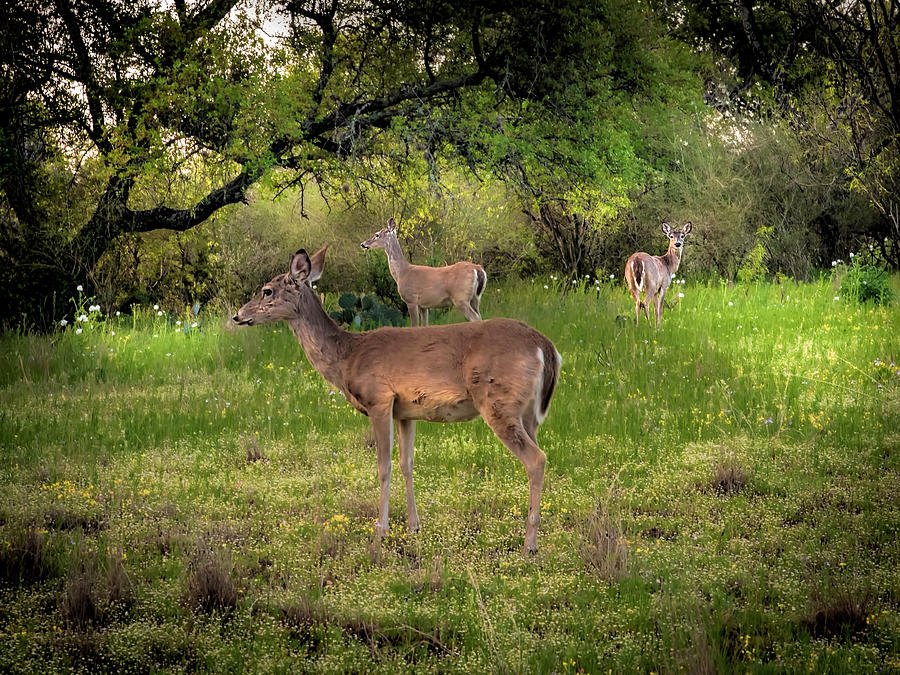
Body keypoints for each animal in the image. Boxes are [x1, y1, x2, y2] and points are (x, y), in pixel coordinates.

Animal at [232, 246, 560, 552]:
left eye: (267, 290)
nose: (237, 315)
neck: (347, 356)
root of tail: (545, 346)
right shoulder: (406, 411)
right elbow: (407, 463)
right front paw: (414, 526)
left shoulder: (379, 399)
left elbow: (383, 466)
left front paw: (381, 530)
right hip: (528, 413)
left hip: (497, 402)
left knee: (536, 459)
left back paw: (529, 543)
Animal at [358, 219, 488, 328]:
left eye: (377, 234)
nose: (363, 244)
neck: (401, 273)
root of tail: (478, 268)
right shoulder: (424, 306)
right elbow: (425, 326)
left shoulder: (411, 299)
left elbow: (414, 326)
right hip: (475, 298)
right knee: (481, 317)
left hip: (460, 298)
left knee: (476, 319)